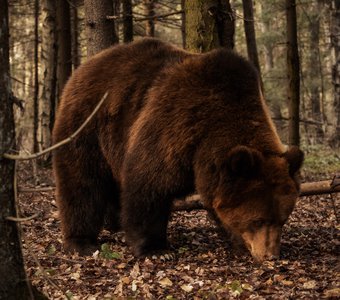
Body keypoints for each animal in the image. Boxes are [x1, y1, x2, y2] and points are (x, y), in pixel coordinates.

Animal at [53, 38, 302, 262]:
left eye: (282, 219)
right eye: (258, 220)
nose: (271, 256)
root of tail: (83, 67)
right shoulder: (173, 128)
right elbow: (149, 186)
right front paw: (156, 249)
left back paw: (114, 223)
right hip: (88, 125)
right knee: (82, 183)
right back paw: (81, 241)